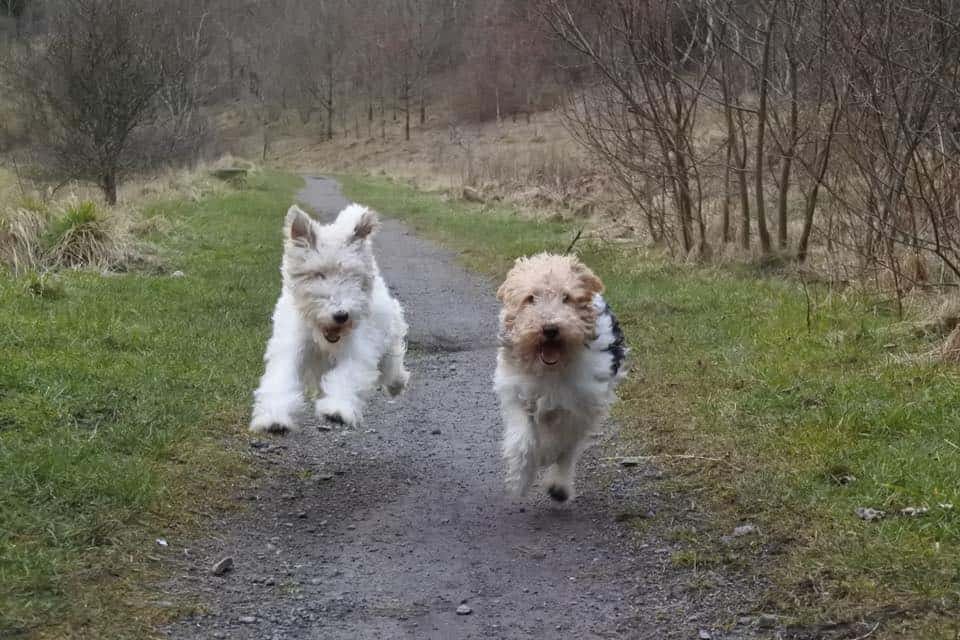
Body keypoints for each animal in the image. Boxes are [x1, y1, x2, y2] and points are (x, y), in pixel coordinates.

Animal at [248, 204, 408, 436]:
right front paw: (274, 418)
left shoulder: (357, 350)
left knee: (391, 362)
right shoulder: (291, 347)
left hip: (387, 332)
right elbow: (281, 380)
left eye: (352, 275)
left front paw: (337, 411)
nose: (341, 315)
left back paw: (397, 382)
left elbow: (346, 377)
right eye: (318, 274)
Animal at [496, 252, 632, 502]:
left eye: (567, 297)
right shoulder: (518, 393)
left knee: (568, 449)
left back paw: (559, 486)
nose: (550, 329)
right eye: (530, 298)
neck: (552, 369)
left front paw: (553, 472)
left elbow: (564, 444)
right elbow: (523, 441)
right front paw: (520, 480)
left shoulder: (580, 404)